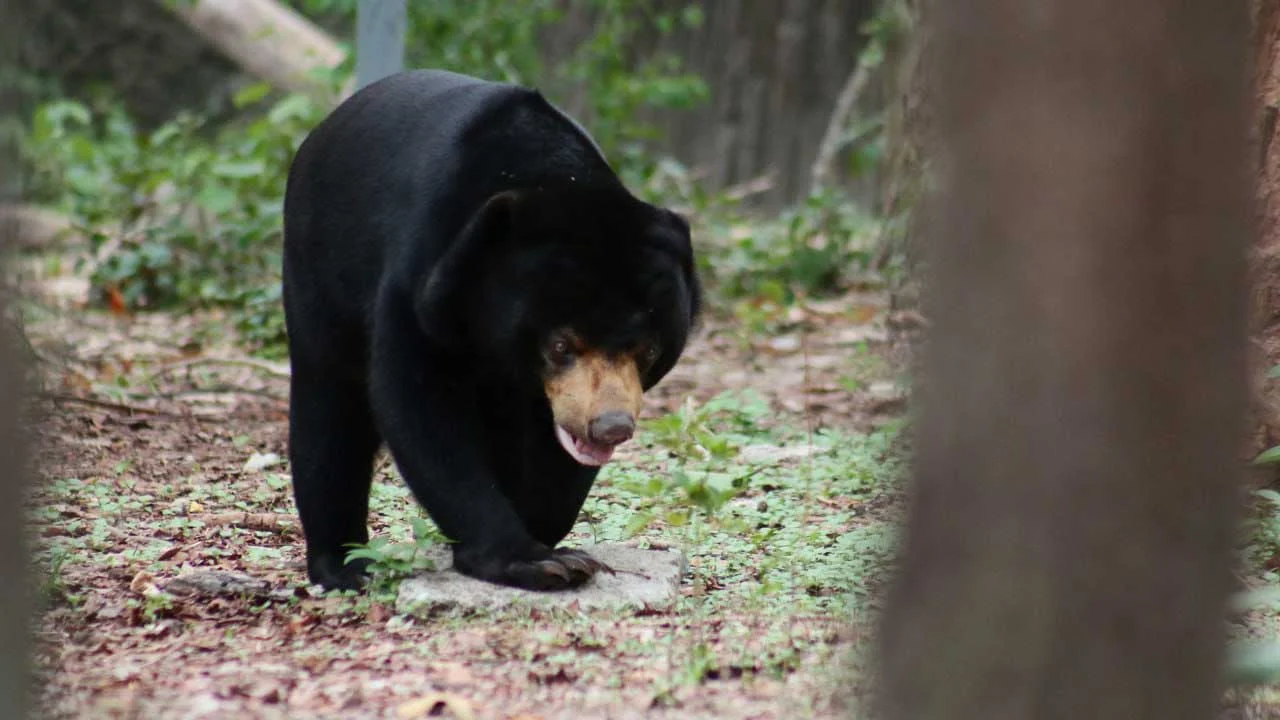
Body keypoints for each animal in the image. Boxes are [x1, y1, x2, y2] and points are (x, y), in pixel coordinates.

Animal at [281, 69, 702, 592]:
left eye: (646, 351)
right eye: (560, 344)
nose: (611, 426)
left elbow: (554, 447)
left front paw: (549, 537)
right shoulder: (422, 276)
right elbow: (421, 406)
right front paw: (535, 561)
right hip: (318, 271)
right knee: (329, 410)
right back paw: (342, 565)